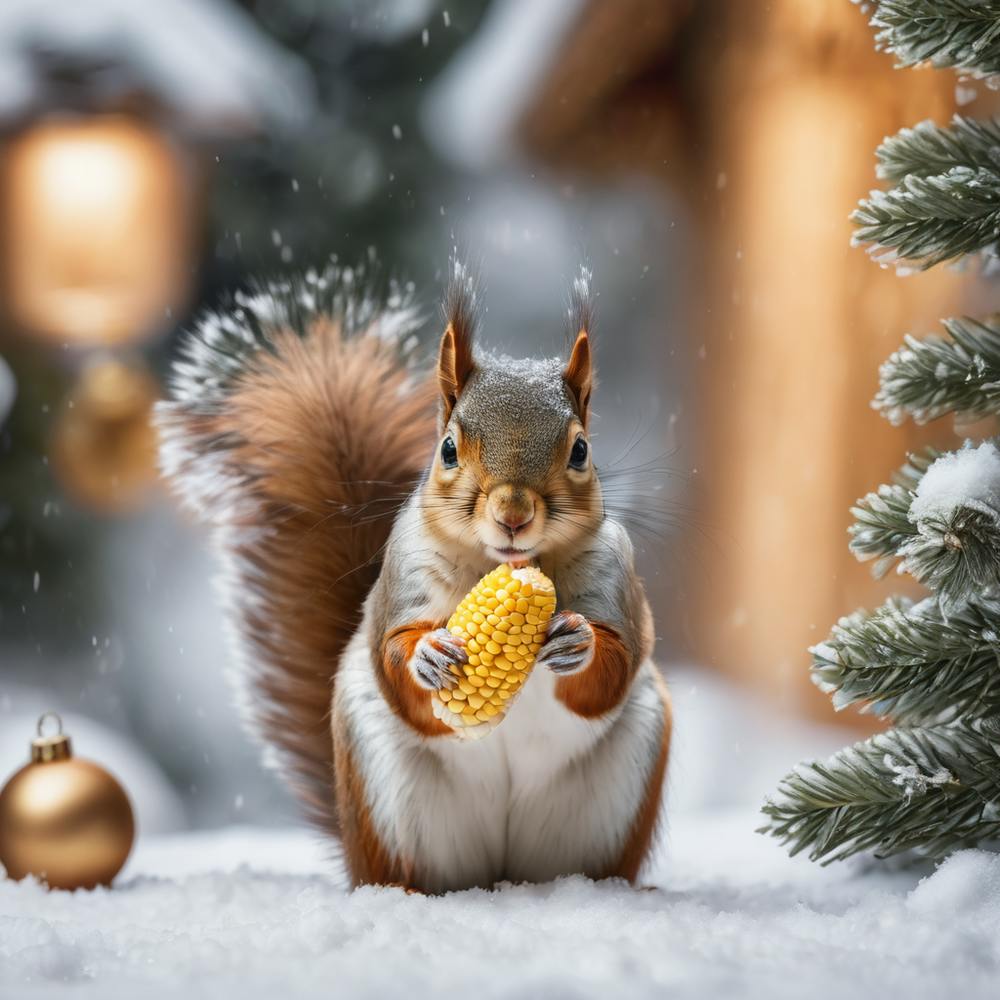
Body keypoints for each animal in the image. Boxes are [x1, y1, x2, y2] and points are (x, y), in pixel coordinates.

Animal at [157, 260, 672, 893]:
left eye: (580, 450)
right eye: (448, 449)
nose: (513, 514)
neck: (506, 566)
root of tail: (500, 874)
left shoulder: (613, 575)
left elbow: (617, 662)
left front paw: (579, 642)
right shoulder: (404, 574)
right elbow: (392, 652)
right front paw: (429, 654)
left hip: (617, 787)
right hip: (389, 794)